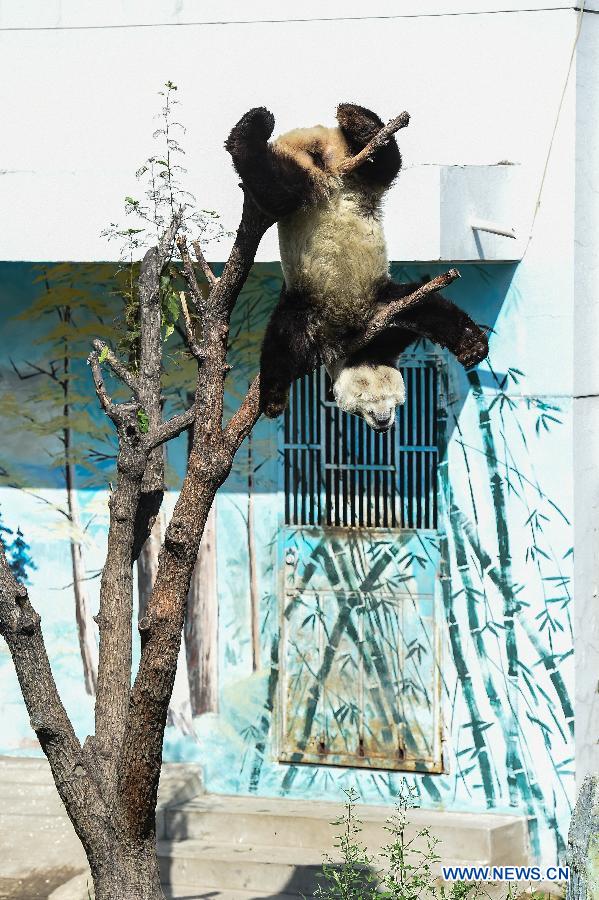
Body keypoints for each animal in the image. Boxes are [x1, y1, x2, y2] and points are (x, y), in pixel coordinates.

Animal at [225, 102, 488, 432]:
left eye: (392, 400)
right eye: (362, 407)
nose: (383, 423)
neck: (359, 346)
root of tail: (317, 147)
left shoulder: (385, 314)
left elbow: (427, 306)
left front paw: (472, 345)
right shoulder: (310, 311)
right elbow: (282, 340)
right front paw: (272, 402)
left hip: (361, 175)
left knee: (385, 161)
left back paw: (356, 120)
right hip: (301, 183)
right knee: (277, 186)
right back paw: (254, 126)